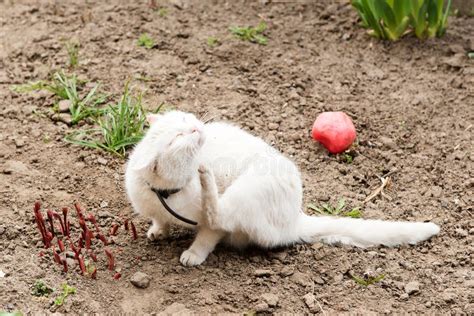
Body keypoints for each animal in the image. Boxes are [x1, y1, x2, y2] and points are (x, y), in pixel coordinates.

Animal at [126, 111, 440, 266]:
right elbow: (159, 221)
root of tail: (294, 220)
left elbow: (207, 236)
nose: (197, 128)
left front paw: (193, 255)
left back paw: (207, 178)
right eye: (178, 136)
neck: (164, 194)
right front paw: (158, 231)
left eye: (185, 120)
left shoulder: (210, 228)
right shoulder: (154, 206)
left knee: (219, 213)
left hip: (247, 189)